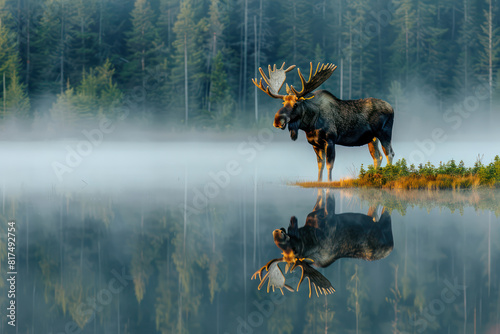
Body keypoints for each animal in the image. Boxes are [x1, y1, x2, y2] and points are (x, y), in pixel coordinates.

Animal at [252, 190, 392, 298]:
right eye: (288, 244)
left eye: (284, 235)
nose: (277, 232)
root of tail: (390, 249)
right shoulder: (328, 217)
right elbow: (329, 197)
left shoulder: (318, 213)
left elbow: (321, 197)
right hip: (385, 233)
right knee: (385, 212)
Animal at [254, 61, 394, 181]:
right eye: (283, 102)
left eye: (296, 104)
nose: (278, 120)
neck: (309, 125)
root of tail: (392, 108)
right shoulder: (315, 144)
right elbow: (320, 166)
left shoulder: (330, 140)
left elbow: (329, 165)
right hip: (372, 138)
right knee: (378, 156)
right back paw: (375, 175)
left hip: (384, 133)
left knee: (389, 153)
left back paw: (389, 174)